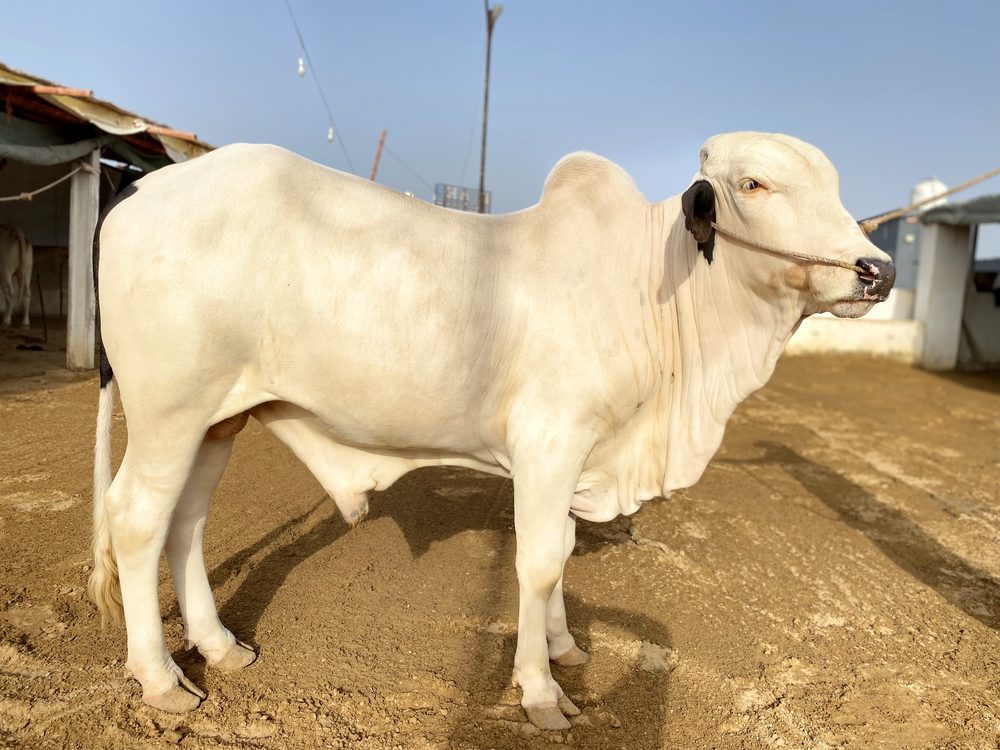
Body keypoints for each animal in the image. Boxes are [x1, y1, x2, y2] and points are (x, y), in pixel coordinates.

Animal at [89, 132, 895, 731]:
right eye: (754, 184)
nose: (876, 270)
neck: (648, 289)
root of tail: (145, 187)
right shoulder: (549, 442)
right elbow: (536, 564)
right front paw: (540, 692)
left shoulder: (578, 456)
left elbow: (562, 553)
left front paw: (565, 648)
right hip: (168, 413)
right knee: (135, 520)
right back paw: (160, 677)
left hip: (217, 420)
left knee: (186, 523)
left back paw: (219, 646)